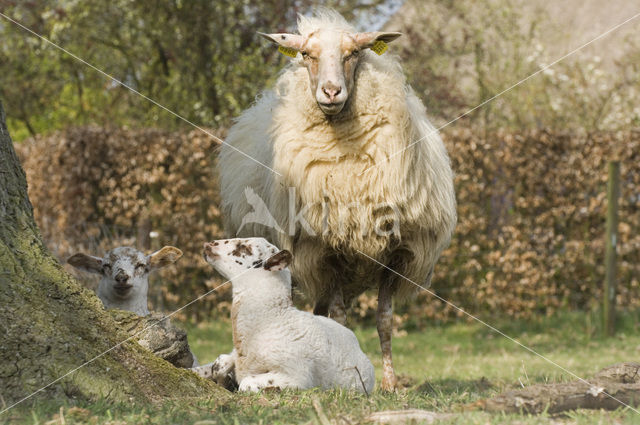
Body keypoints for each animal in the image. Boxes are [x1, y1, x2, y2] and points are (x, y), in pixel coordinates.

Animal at [198, 237, 372, 392]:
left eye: (244, 248)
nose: (208, 244)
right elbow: (219, 363)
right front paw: (225, 381)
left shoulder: (298, 376)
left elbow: (246, 383)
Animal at [218, 9, 458, 390]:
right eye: (306, 55)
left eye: (354, 54)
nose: (331, 91)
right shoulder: (325, 253)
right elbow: (340, 319)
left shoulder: (396, 254)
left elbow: (385, 319)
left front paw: (390, 384)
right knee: (323, 311)